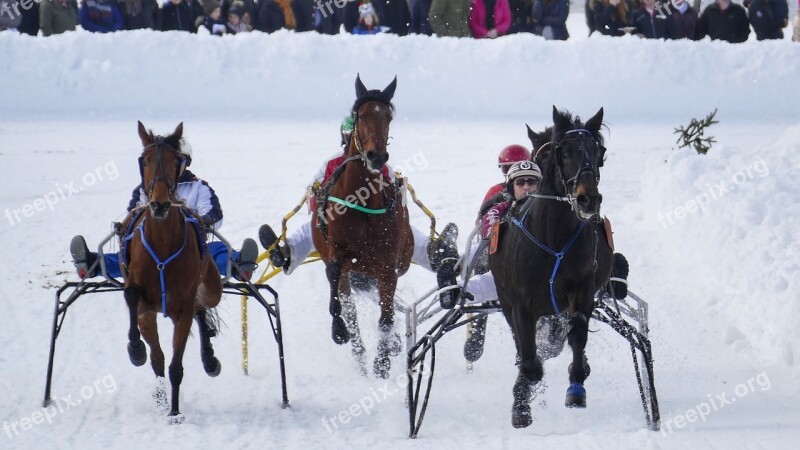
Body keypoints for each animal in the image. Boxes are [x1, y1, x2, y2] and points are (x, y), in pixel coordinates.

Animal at [125, 120, 225, 422]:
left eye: (174, 161)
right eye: (145, 160)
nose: (159, 204)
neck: (162, 246)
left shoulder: (183, 308)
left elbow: (175, 366)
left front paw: (175, 411)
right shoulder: (145, 308)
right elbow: (156, 357)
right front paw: (136, 349)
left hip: (210, 287)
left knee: (203, 308)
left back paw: (209, 358)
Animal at [310, 75, 412, 378]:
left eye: (388, 116)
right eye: (361, 115)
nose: (376, 156)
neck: (363, 202)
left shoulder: (388, 265)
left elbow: (386, 316)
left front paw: (383, 360)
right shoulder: (337, 249)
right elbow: (334, 276)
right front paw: (339, 330)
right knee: (350, 306)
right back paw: (358, 350)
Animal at [488, 107, 612, 428]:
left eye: (599, 152)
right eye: (562, 151)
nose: (588, 198)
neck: (553, 235)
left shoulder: (583, 288)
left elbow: (578, 332)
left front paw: (577, 387)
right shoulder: (519, 302)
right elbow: (528, 356)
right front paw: (523, 401)